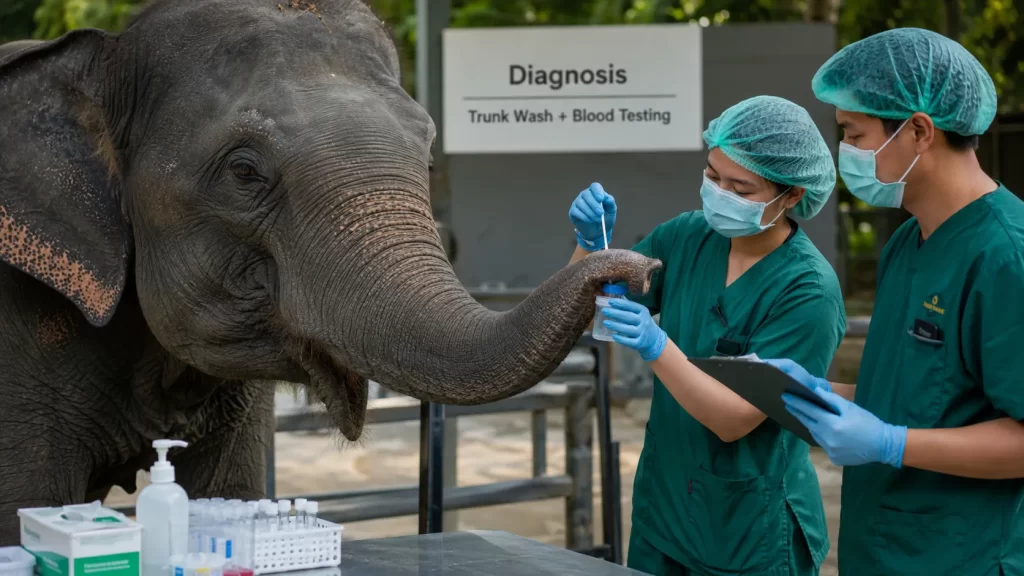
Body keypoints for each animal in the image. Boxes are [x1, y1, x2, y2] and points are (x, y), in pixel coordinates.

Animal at [0, 0, 659, 544]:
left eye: (428, 155)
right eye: (244, 172)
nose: (640, 267)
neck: (103, 55)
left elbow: (230, 492)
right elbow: (28, 502)